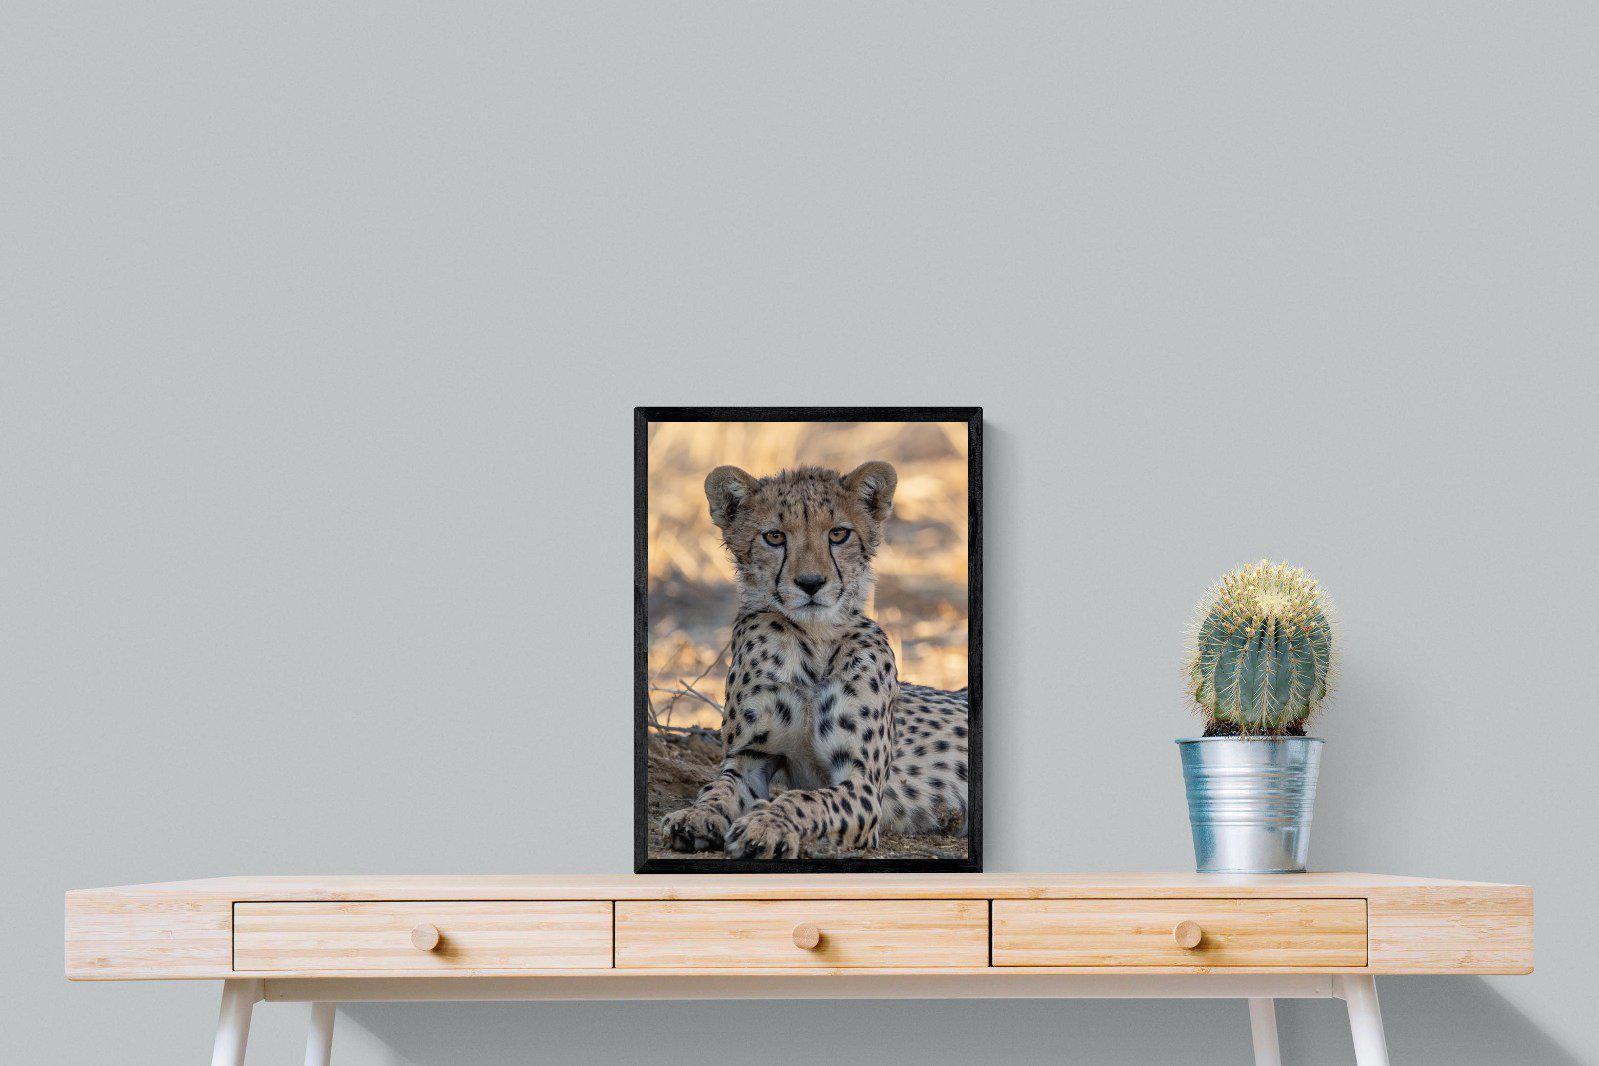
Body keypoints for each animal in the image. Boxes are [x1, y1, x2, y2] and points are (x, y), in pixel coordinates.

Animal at [659, 460, 970, 860]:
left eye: (838, 533)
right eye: (775, 537)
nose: (810, 583)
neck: (814, 642)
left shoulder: (863, 784)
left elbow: (806, 800)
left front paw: (767, 825)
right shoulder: (749, 758)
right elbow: (718, 789)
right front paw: (696, 815)